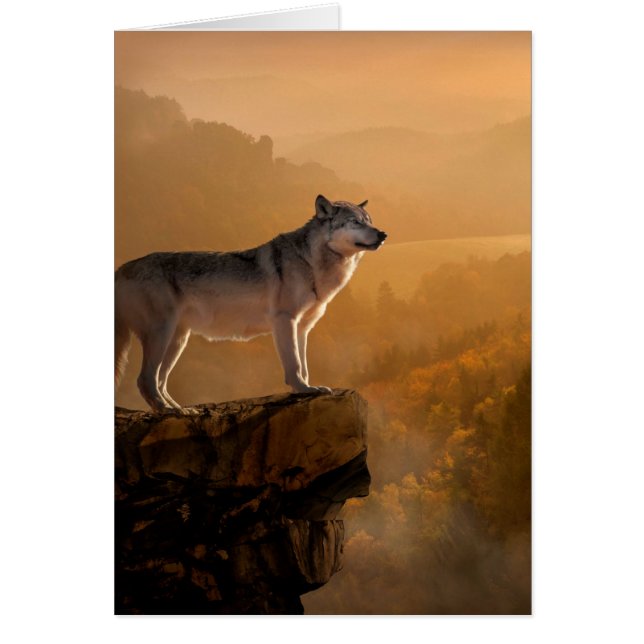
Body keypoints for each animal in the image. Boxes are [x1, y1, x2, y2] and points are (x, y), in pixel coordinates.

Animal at [115, 194, 387, 412]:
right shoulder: (284, 321)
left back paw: (179, 409)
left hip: (178, 340)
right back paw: (170, 412)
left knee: (160, 381)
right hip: (162, 335)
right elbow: (294, 364)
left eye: (370, 220)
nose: (383, 234)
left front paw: (309, 387)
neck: (311, 263)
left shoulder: (302, 328)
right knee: (145, 380)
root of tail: (121, 269)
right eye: (355, 222)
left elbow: (305, 365)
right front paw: (302, 389)